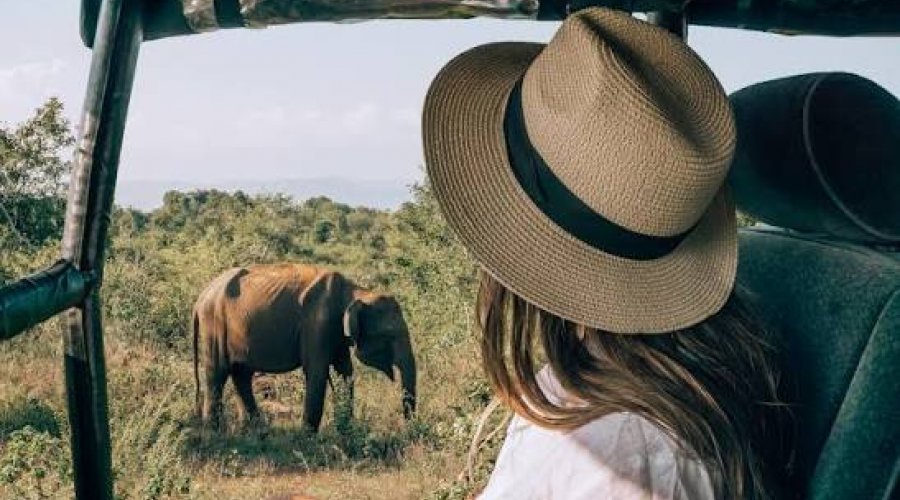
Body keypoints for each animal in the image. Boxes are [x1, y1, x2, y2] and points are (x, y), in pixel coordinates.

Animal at [192, 263, 417, 431]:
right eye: (389, 335)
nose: (407, 427)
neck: (354, 291)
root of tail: (201, 297)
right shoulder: (317, 323)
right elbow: (317, 371)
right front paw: (308, 438)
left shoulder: (335, 332)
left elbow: (345, 371)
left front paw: (345, 429)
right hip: (214, 324)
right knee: (218, 374)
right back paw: (215, 433)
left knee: (241, 374)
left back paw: (255, 431)